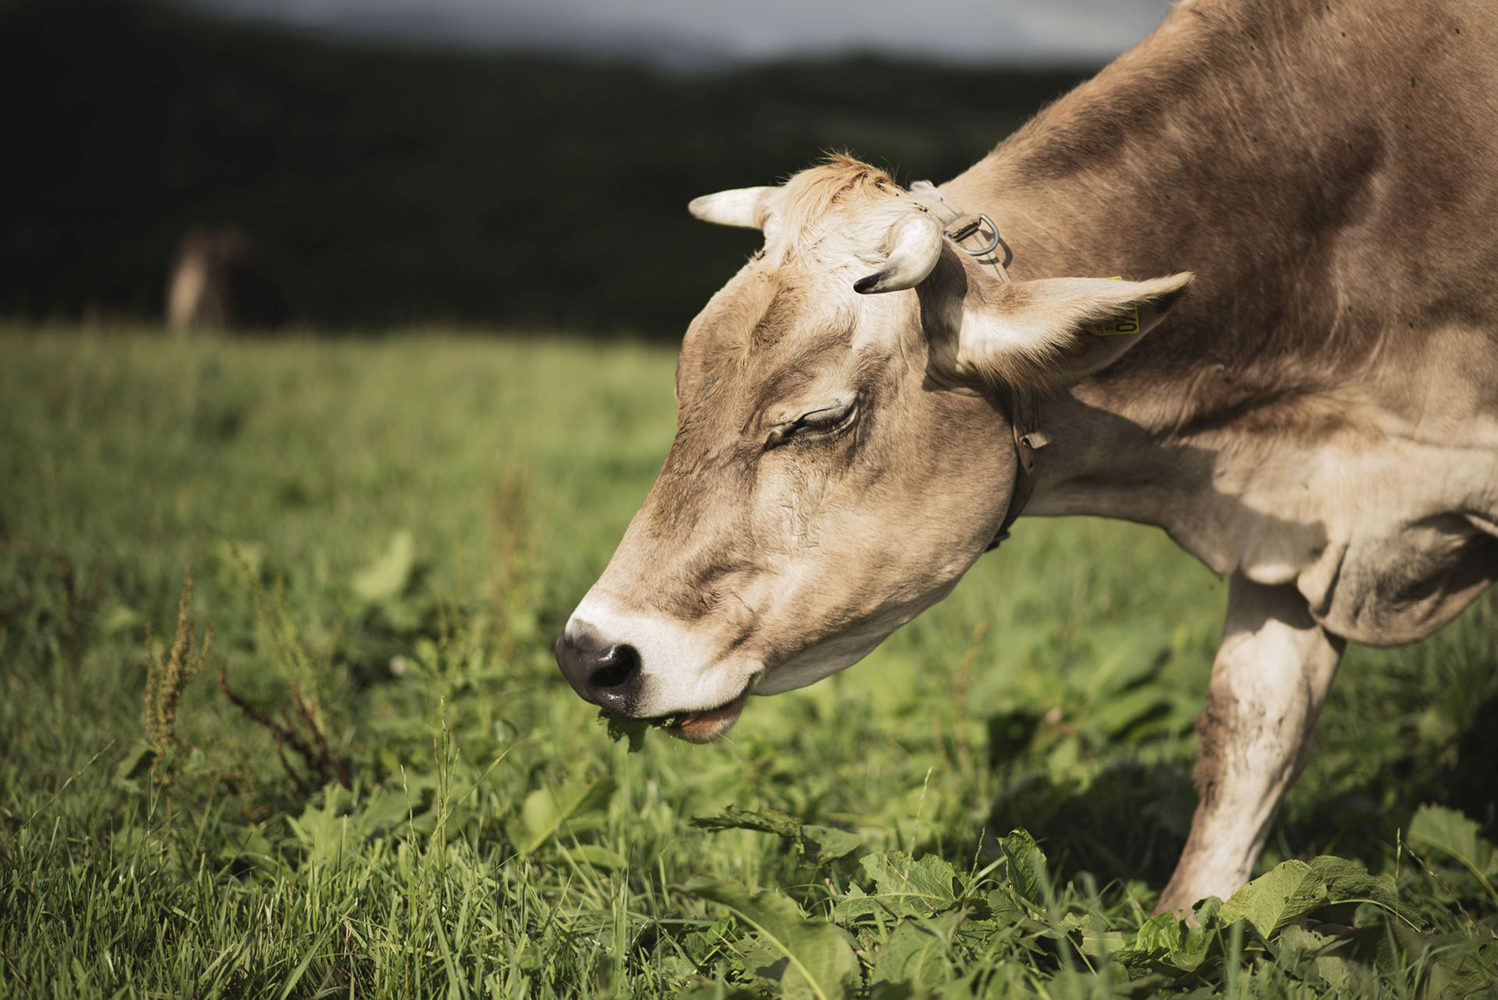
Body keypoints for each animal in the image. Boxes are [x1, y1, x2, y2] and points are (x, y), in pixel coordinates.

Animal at [554, 0, 1498, 916]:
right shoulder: (1289, 541)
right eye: (686, 386)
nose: (594, 656)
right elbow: (1248, 742)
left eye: (822, 418)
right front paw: (1191, 925)